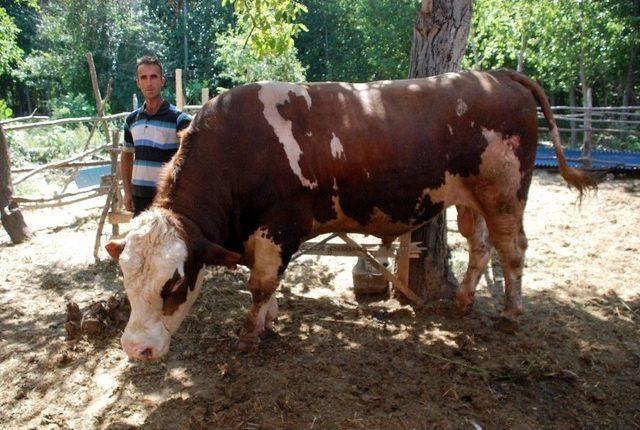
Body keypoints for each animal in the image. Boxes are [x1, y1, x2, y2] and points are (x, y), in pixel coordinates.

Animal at [104, 69, 596, 360]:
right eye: (126, 279)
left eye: (173, 283)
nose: (134, 348)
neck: (239, 146)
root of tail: (493, 75)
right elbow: (267, 284)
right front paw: (271, 318)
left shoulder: (278, 228)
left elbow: (260, 284)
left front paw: (250, 331)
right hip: (468, 199)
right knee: (480, 246)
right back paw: (462, 303)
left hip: (505, 195)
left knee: (512, 250)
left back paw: (510, 313)